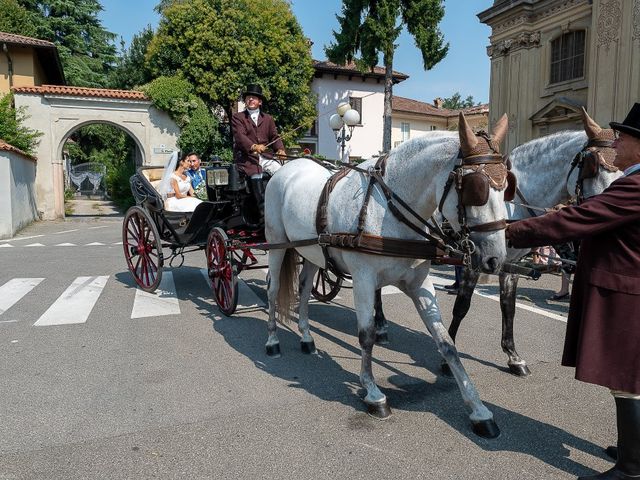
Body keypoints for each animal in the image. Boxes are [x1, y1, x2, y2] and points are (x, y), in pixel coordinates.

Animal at [264, 114, 510, 436]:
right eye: (476, 189)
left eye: (507, 186)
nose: (496, 259)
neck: (388, 208)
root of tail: (284, 168)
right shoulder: (364, 280)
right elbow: (366, 335)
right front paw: (372, 392)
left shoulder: (419, 283)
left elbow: (446, 342)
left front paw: (478, 409)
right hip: (276, 244)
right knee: (272, 289)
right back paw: (272, 341)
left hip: (312, 251)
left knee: (304, 289)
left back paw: (306, 336)